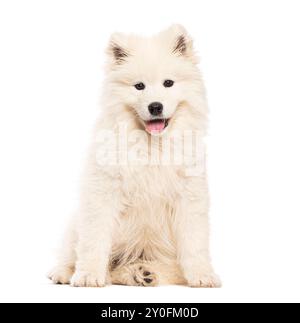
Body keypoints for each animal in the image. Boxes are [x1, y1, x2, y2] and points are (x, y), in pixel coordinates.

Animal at [49, 25, 220, 288]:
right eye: (139, 86)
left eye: (168, 83)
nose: (155, 106)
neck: (152, 146)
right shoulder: (103, 192)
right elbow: (94, 240)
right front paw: (88, 276)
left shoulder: (189, 196)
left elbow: (194, 243)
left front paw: (203, 276)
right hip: (75, 224)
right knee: (75, 254)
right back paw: (64, 273)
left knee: (160, 269)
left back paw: (144, 272)